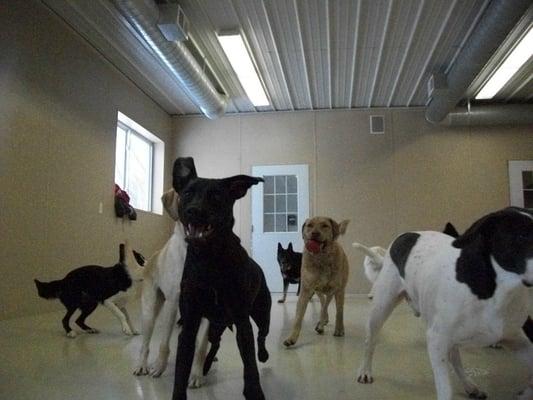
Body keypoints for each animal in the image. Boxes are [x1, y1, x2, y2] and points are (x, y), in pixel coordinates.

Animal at [171, 157, 272, 400]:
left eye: (216, 196)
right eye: (187, 194)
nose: (194, 211)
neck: (209, 259)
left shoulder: (242, 321)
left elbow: (250, 364)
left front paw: (254, 392)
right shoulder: (189, 323)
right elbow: (181, 367)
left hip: (262, 313)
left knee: (262, 336)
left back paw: (263, 354)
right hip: (215, 326)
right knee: (214, 344)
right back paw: (206, 366)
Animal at [282, 216, 350, 346]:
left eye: (324, 225)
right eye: (310, 225)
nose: (314, 233)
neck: (321, 259)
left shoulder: (337, 289)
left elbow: (337, 311)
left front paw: (338, 329)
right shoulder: (305, 290)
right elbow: (298, 317)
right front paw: (292, 338)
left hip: (338, 289)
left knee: (334, 306)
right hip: (318, 291)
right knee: (323, 303)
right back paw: (322, 323)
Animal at [356, 208, 532, 400]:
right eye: (522, 236)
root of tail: (405, 235)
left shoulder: (521, 340)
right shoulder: (436, 341)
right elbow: (445, 389)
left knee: (454, 358)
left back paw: (468, 385)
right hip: (381, 310)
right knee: (369, 342)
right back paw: (365, 370)